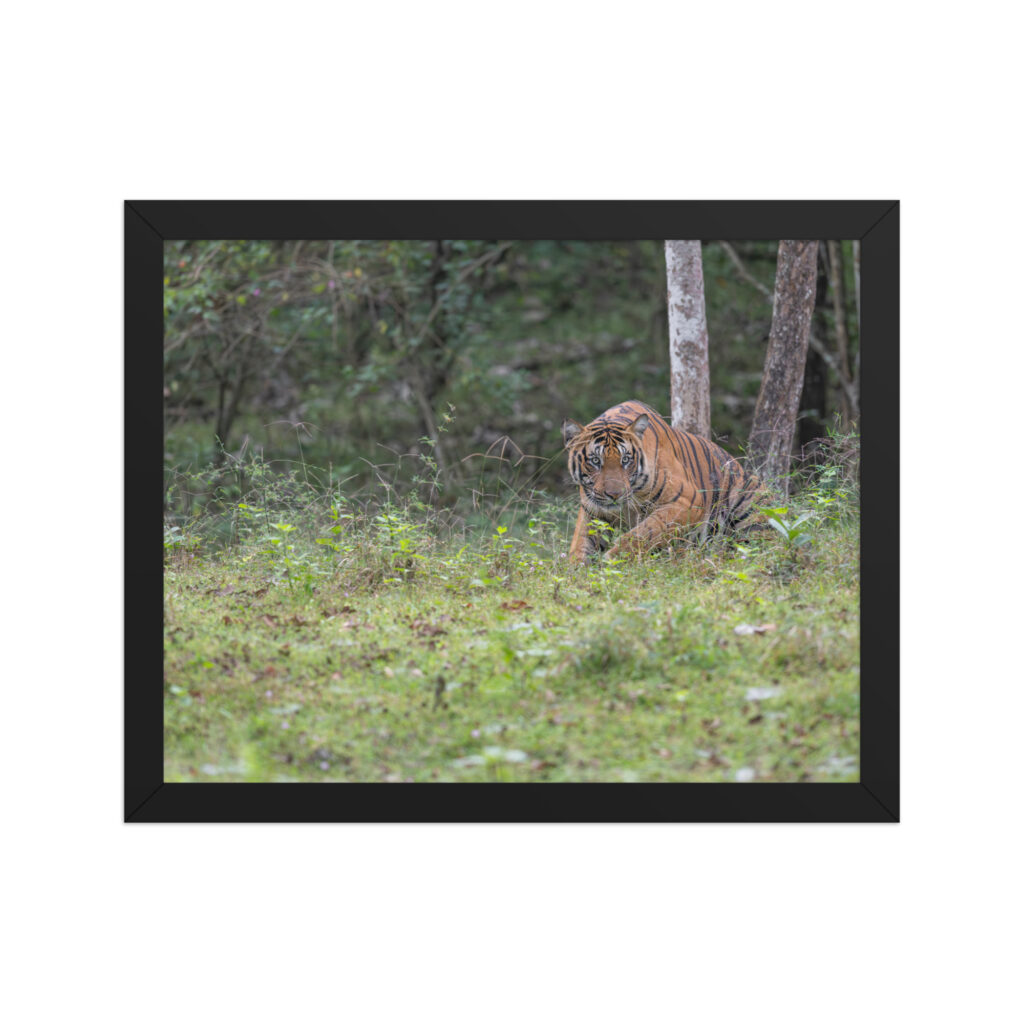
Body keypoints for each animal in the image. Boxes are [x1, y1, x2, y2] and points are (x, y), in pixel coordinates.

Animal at [562, 399, 768, 562]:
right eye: (595, 461)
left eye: (626, 460)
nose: (614, 495)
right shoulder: (592, 511)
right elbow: (581, 544)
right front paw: (576, 572)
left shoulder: (687, 501)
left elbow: (646, 531)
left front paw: (614, 558)